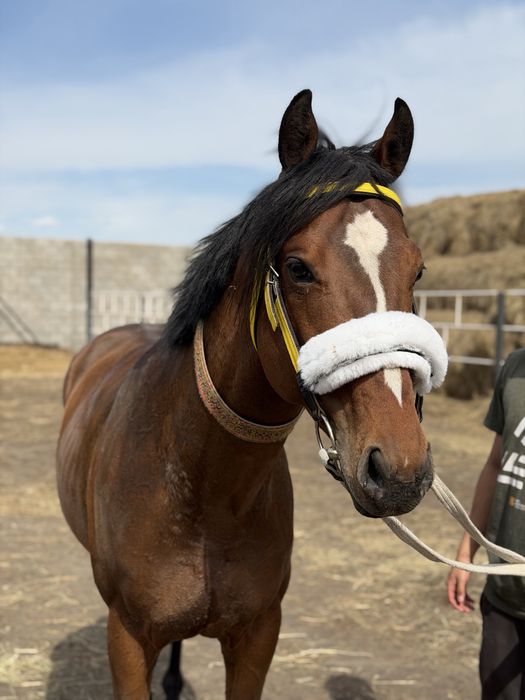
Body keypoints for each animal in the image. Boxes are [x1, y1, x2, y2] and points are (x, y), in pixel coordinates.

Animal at [56, 89, 440, 699]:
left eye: (418, 270)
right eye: (298, 268)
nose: (400, 471)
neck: (202, 484)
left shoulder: (259, 635)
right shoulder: (128, 639)